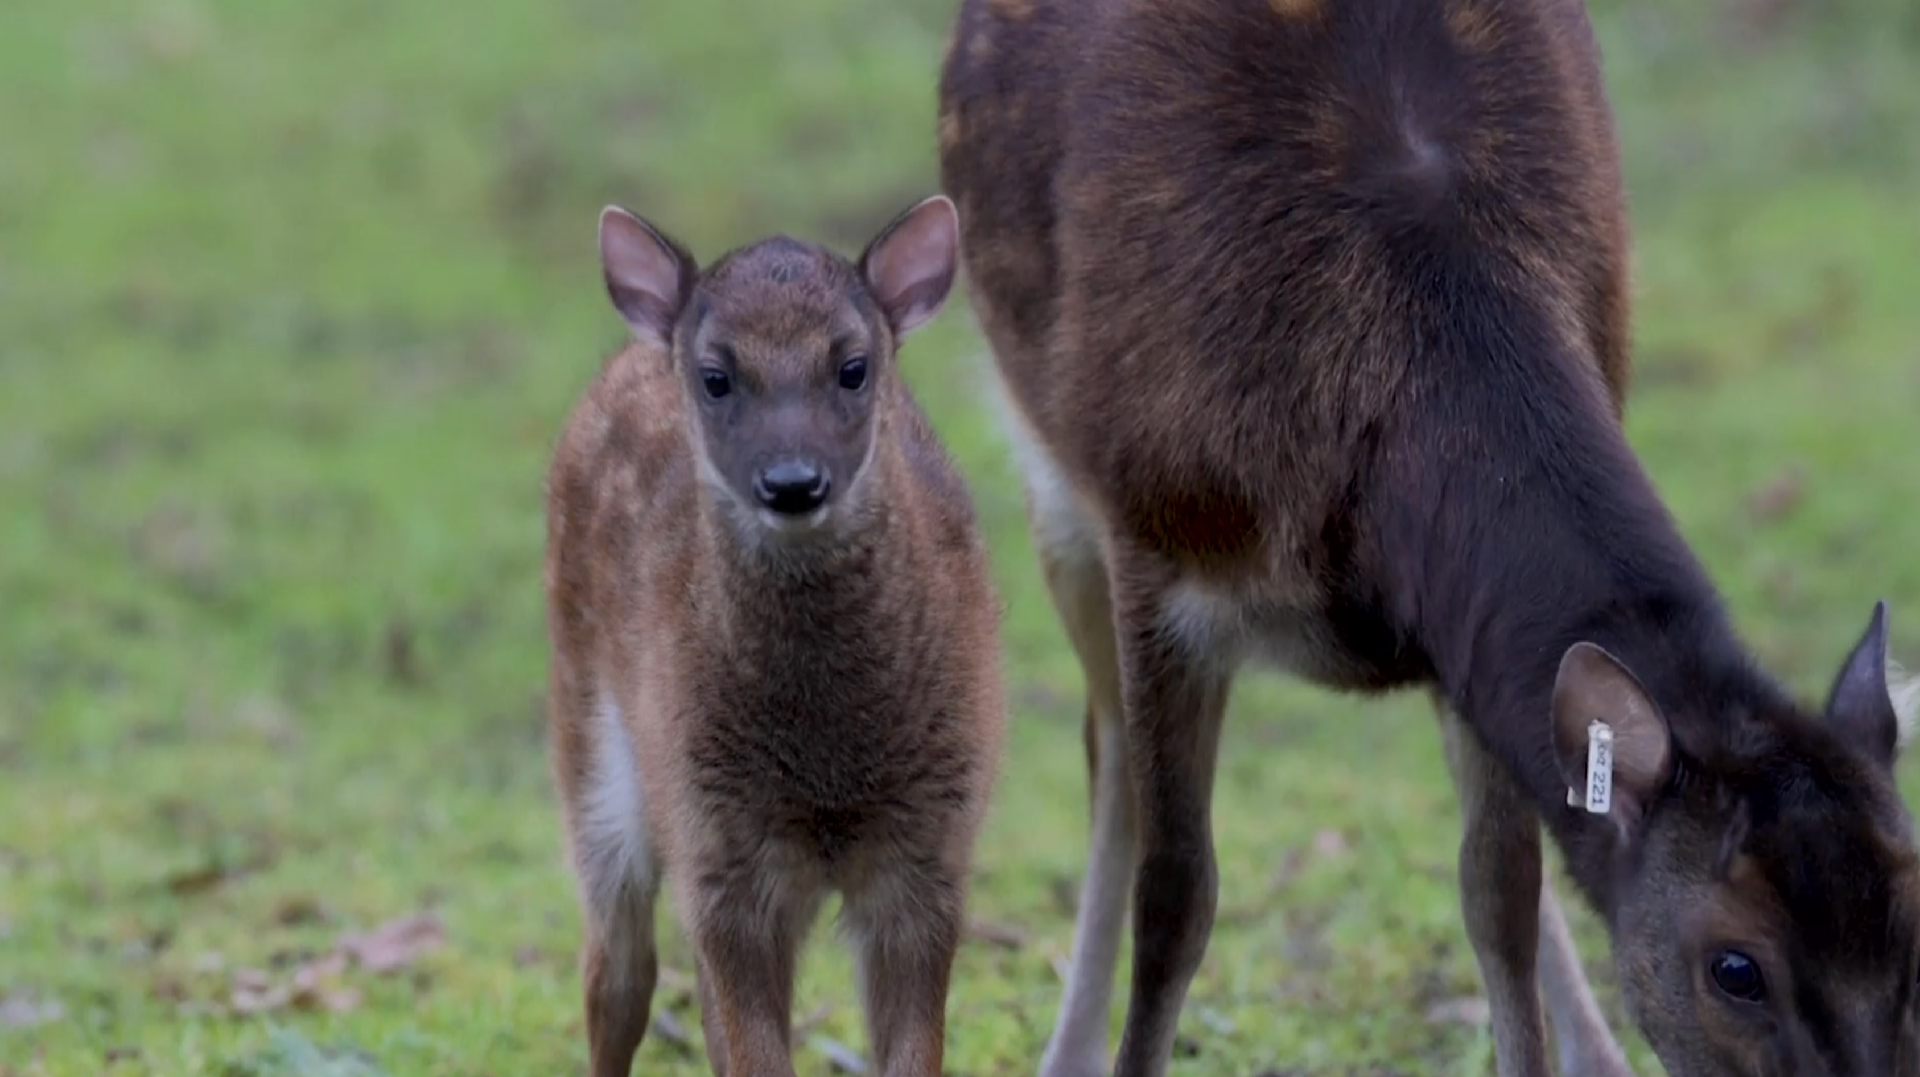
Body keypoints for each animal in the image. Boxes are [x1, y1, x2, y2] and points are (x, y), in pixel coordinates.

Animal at [543, 194, 1007, 1077]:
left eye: (853, 366)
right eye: (717, 376)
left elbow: (909, 1053)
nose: (792, 482)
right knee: (615, 972)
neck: (828, 762)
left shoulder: (934, 848)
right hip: (592, 747)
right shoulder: (721, 852)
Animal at [936, 1, 1920, 1076]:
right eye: (1734, 966)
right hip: (1050, 485)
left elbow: (1502, 894)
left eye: (1916, 925)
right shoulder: (1153, 552)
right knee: (1104, 753)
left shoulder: (1473, 630)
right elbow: (1175, 896)